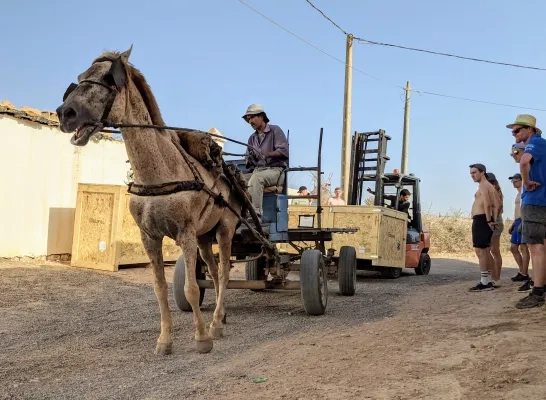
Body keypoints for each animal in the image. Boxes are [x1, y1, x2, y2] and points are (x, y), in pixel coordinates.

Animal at [54, 45, 246, 354]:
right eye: (81, 77)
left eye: (109, 79)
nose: (65, 113)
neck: (160, 172)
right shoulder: (150, 237)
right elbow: (160, 289)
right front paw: (165, 340)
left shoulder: (185, 234)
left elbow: (191, 288)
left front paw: (201, 338)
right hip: (205, 237)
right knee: (215, 272)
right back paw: (221, 315)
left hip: (225, 230)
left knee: (226, 273)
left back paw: (215, 324)